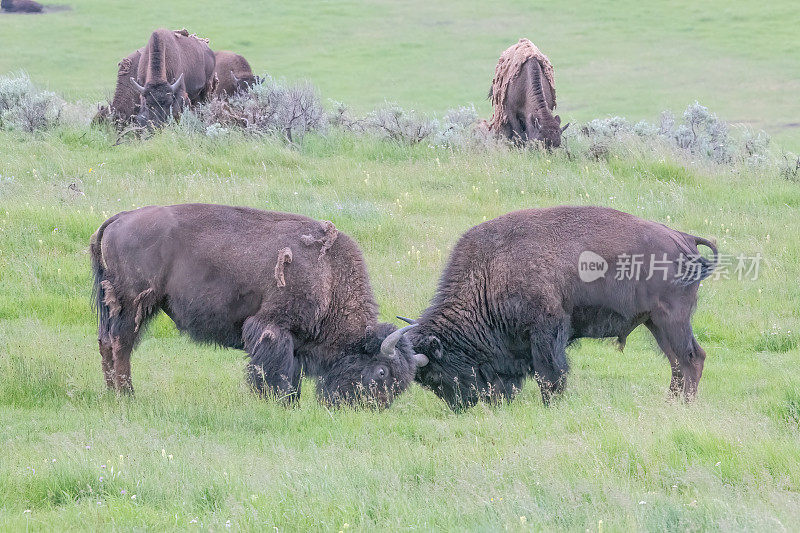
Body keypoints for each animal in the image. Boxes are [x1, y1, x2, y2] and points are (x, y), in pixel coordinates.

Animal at [90, 202, 428, 406]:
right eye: (382, 372)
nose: (369, 408)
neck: (329, 274)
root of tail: (118, 219)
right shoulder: (273, 327)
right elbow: (273, 368)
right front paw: (275, 400)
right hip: (133, 304)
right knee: (121, 344)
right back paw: (127, 395)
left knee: (107, 343)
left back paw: (112, 392)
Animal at [406, 206, 720, 410]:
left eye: (435, 376)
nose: (462, 406)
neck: (490, 270)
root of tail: (684, 238)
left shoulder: (547, 330)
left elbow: (549, 372)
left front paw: (551, 403)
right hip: (655, 322)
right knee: (678, 362)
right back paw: (670, 403)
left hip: (671, 319)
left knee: (691, 358)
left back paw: (685, 406)